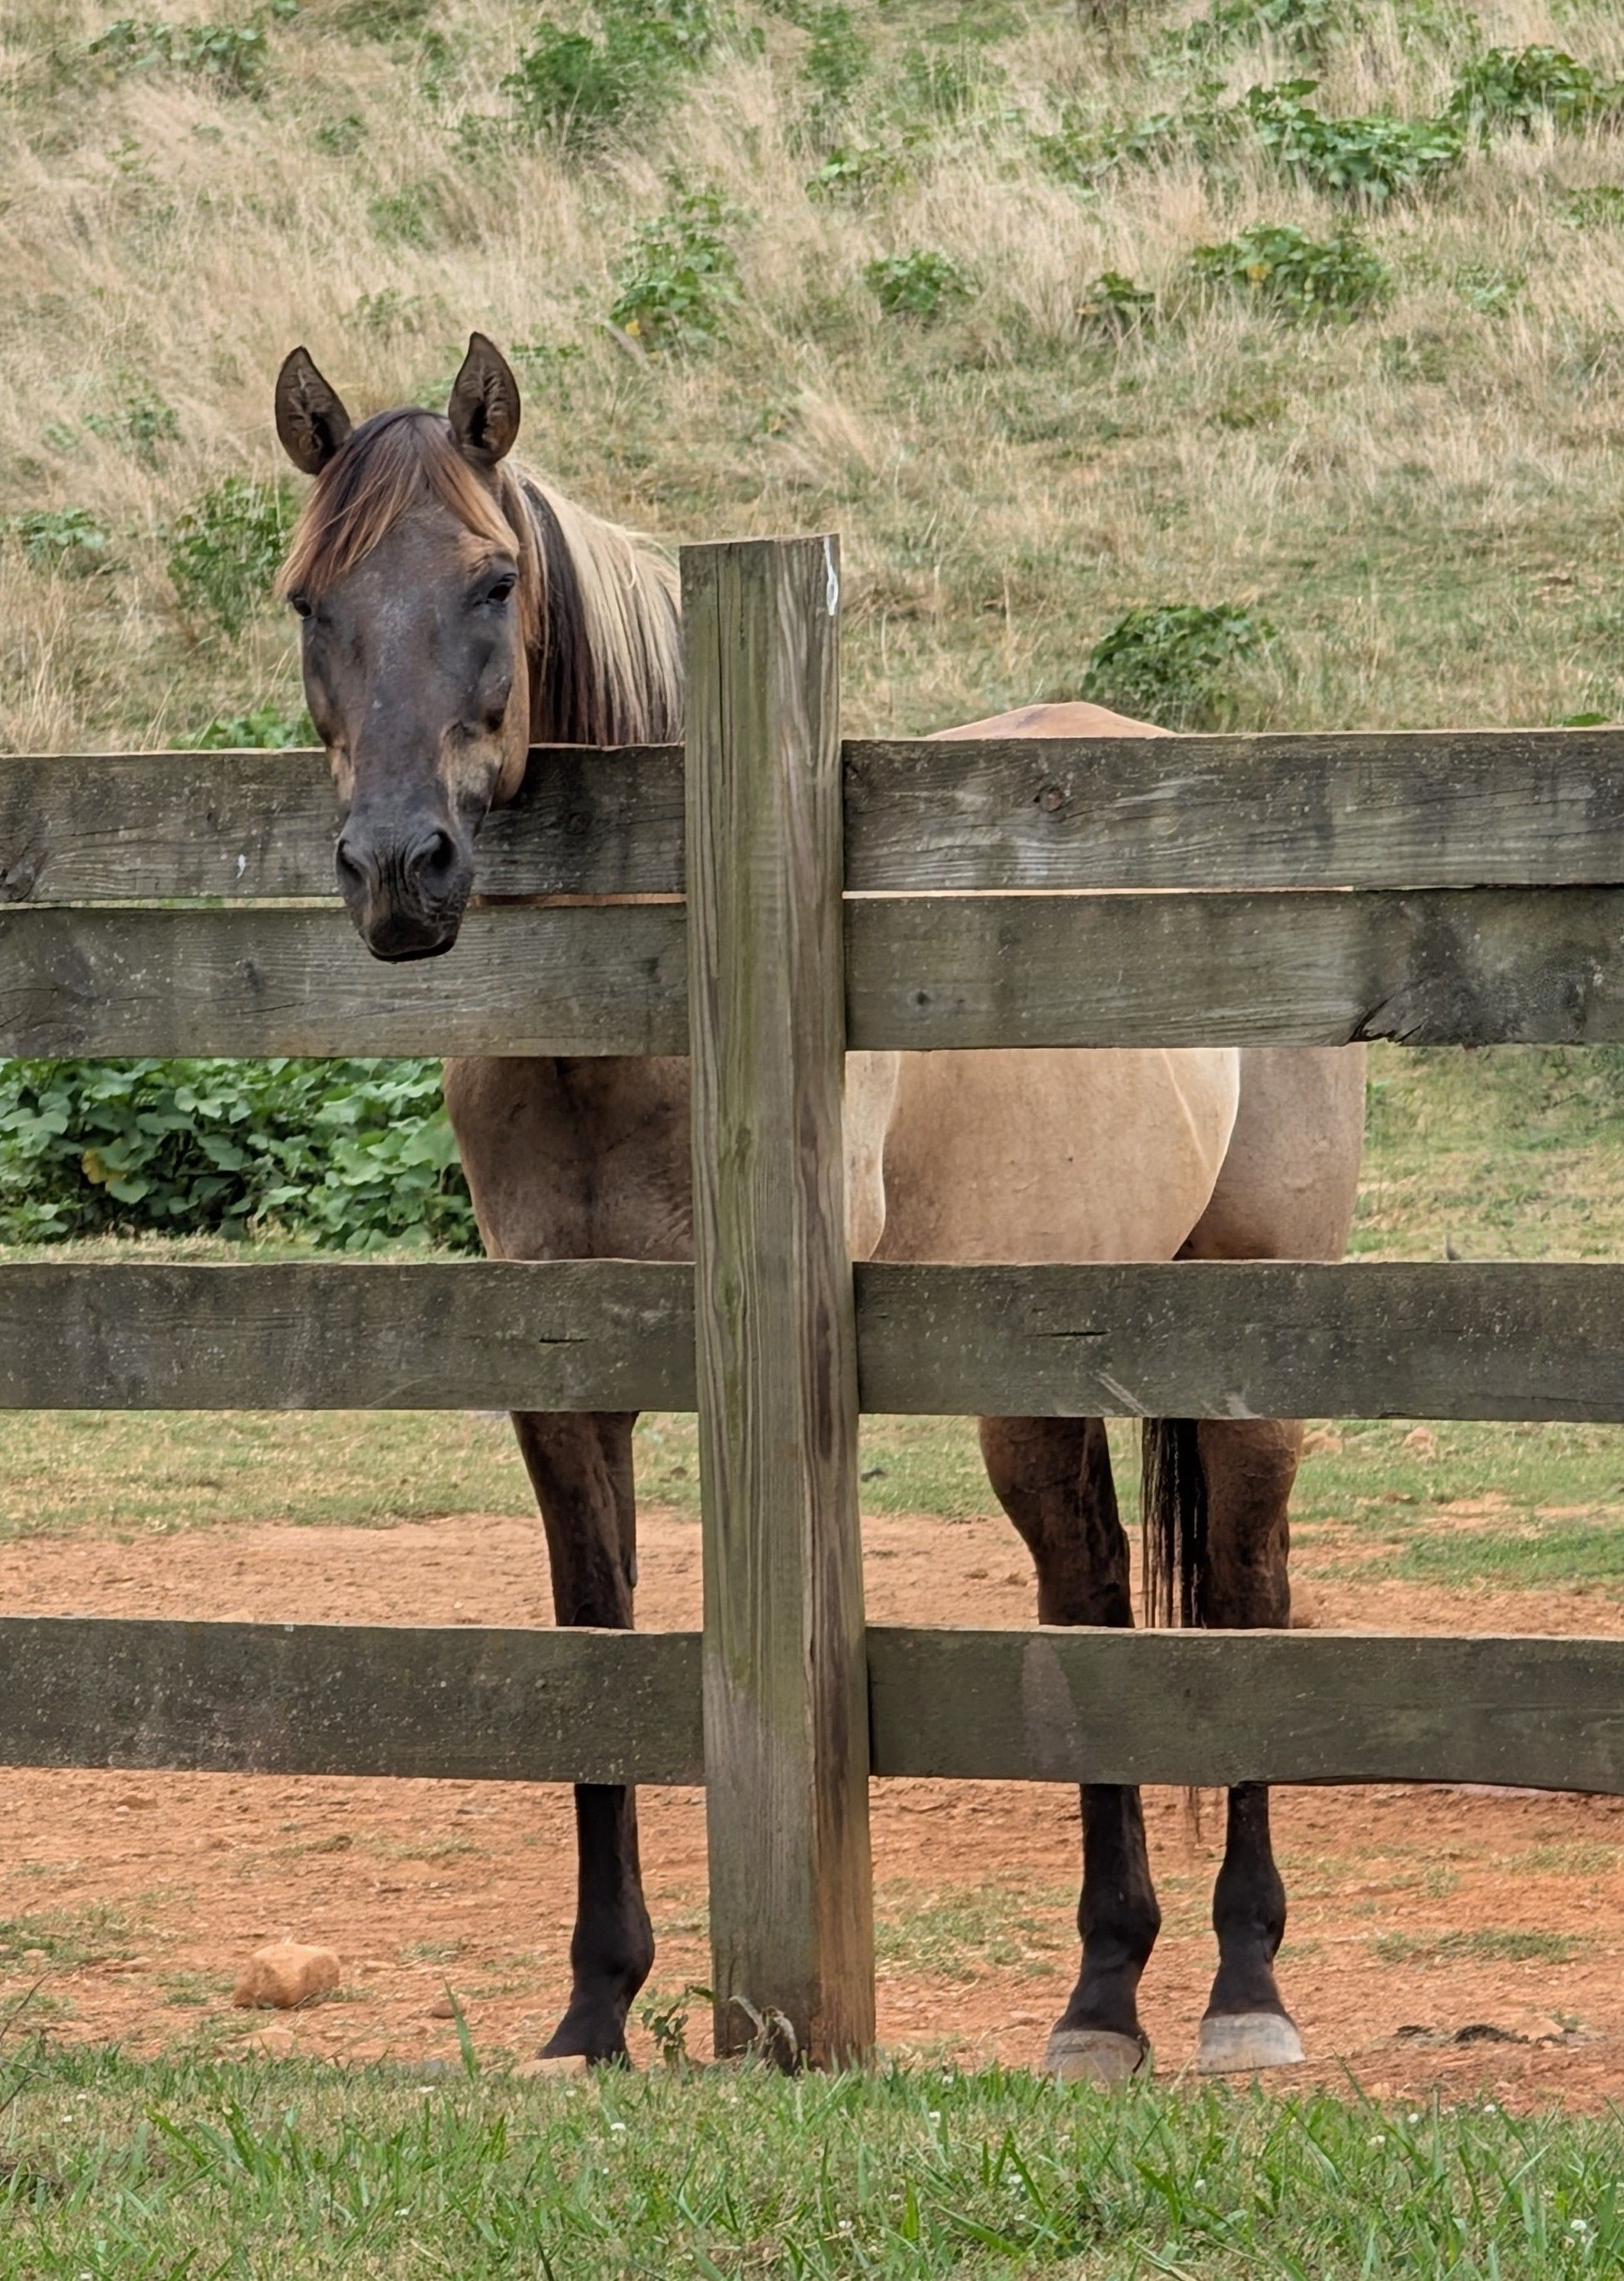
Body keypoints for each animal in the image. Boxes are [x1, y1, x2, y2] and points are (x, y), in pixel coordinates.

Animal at [273, 332, 1365, 2081]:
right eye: (312, 597)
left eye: (493, 579)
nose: (398, 871)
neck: (627, 1027)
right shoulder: (562, 1382)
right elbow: (589, 1645)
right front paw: (593, 2010)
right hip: (1051, 1349)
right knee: (1091, 1594)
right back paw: (1105, 1996)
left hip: (1242, 1338)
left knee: (1244, 1602)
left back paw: (1235, 1988)